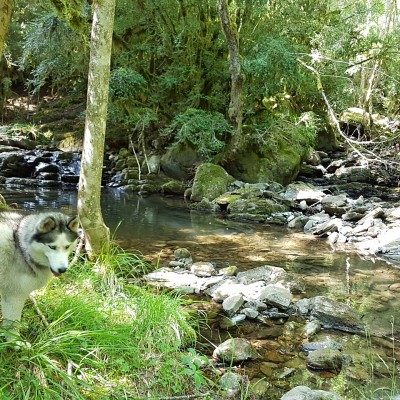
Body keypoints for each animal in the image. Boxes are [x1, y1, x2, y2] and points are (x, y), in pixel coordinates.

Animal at [0, 211, 79, 340]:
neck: (21, 247)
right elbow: (13, 323)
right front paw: (15, 341)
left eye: (67, 246)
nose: (62, 270)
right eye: (52, 247)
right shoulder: (14, 295)